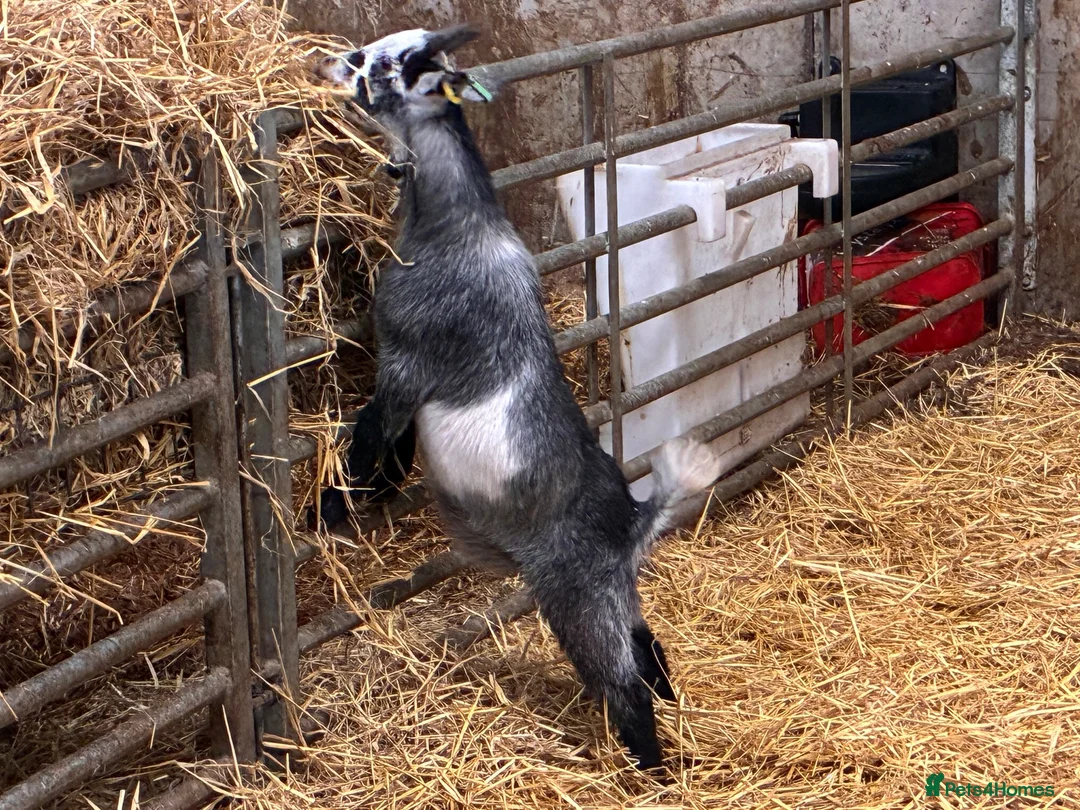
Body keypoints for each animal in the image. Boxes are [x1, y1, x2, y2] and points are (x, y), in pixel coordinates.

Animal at [310, 25, 721, 769]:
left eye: (374, 63)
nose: (327, 63)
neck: (456, 229)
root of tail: (634, 520)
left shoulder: (406, 361)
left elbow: (371, 434)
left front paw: (330, 511)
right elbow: (395, 445)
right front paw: (377, 493)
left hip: (576, 596)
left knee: (624, 683)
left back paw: (647, 768)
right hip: (615, 591)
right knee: (647, 648)